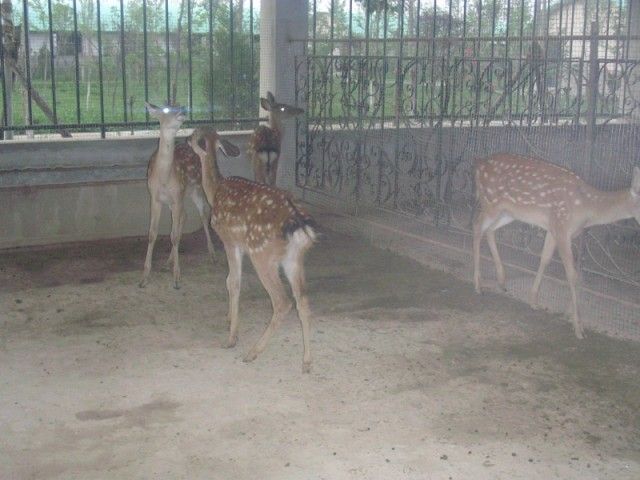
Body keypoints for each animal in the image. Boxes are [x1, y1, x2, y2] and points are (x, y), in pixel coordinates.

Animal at [139, 102, 221, 288]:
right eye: (166, 109)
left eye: (177, 105)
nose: (184, 110)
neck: (164, 177)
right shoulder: (155, 197)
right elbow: (152, 234)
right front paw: (144, 277)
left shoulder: (177, 197)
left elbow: (175, 236)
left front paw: (176, 278)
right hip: (180, 197)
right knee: (184, 217)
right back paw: (167, 262)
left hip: (196, 189)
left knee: (202, 215)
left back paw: (212, 254)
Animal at [188, 126, 318, 372]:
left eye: (194, 135)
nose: (185, 140)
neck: (215, 190)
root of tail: (298, 224)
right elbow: (229, 280)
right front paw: (229, 318)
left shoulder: (230, 240)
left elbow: (233, 282)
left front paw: (231, 336)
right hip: (294, 260)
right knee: (303, 301)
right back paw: (306, 362)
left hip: (262, 254)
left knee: (282, 302)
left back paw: (252, 352)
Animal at [470, 153, 640, 338]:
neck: (586, 208)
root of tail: (479, 164)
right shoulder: (562, 227)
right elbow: (572, 275)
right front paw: (578, 328)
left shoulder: (553, 229)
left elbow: (545, 259)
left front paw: (533, 300)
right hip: (491, 202)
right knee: (477, 227)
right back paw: (478, 285)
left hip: (508, 212)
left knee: (489, 230)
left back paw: (501, 281)